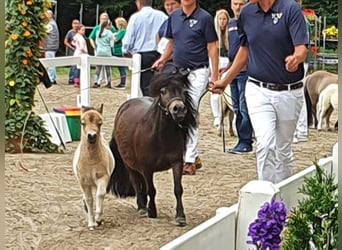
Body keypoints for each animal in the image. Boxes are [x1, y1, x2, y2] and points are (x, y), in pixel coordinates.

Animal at [108, 65, 196, 227]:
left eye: (184, 91)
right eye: (163, 91)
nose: (179, 109)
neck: (161, 136)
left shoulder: (176, 163)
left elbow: (178, 189)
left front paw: (180, 216)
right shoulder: (147, 168)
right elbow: (152, 190)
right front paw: (152, 211)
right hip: (130, 164)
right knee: (137, 183)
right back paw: (142, 208)